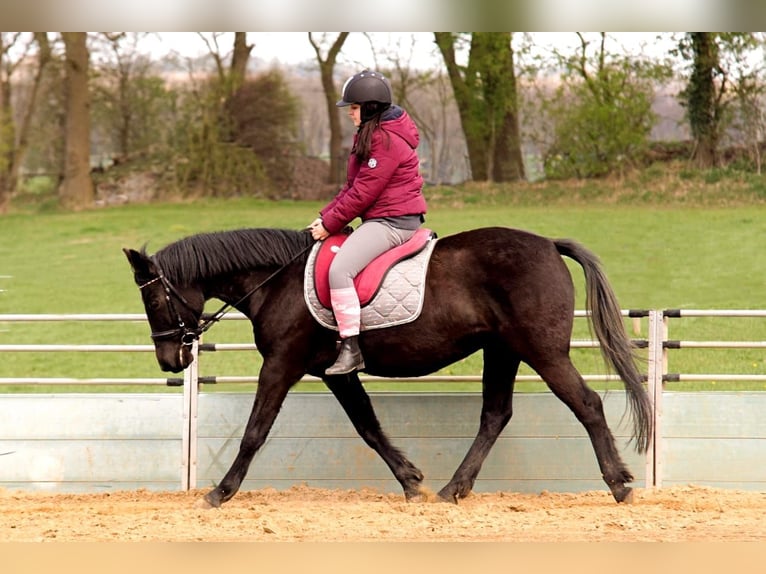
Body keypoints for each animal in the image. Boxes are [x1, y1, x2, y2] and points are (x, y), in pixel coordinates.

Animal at [126, 227, 656, 510]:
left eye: (153, 298)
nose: (169, 360)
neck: (278, 282)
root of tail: (548, 243)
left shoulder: (281, 364)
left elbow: (255, 432)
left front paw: (220, 491)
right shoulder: (337, 373)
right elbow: (369, 427)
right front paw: (410, 480)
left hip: (542, 352)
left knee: (586, 405)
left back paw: (619, 484)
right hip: (503, 351)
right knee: (495, 416)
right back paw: (452, 489)